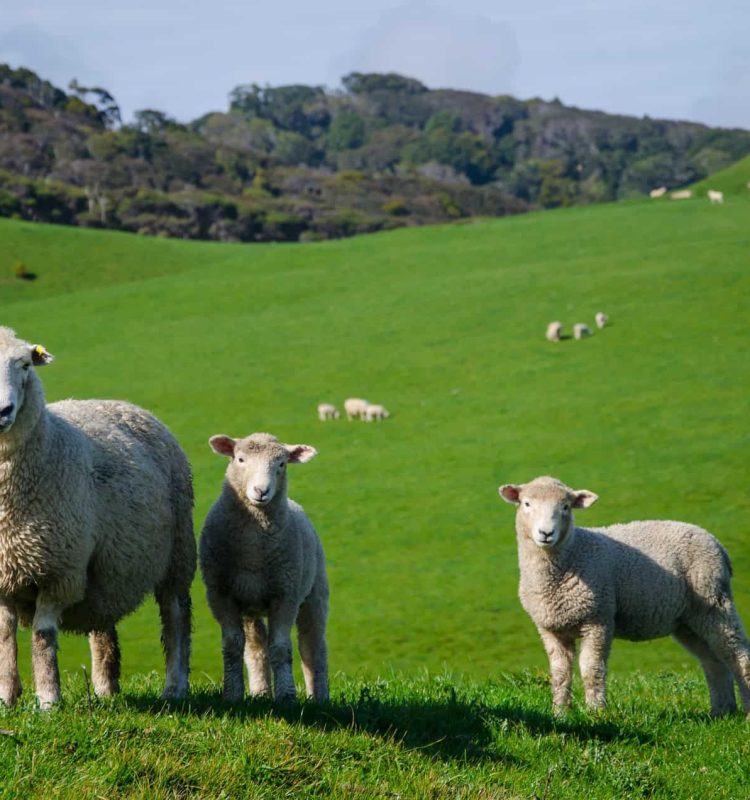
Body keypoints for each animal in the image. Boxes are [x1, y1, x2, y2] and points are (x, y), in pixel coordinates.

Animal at [0, 326, 195, 708]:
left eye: (25, 365)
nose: (3, 410)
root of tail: (122, 403)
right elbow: (3, 637)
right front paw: (6, 698)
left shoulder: (59, 571)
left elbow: (43, 637)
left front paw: (49, 701)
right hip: (109, 566)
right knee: (104, 626)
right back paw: (106, 689)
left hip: (177, 554)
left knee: (176, 618)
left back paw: (174, 688)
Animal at [200, 432, 329, 703]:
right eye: (240, 459)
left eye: (282, 464)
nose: (261, 491)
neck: (254, 552)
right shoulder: (220, 594)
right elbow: (233, 645)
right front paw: (232, 694)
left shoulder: (286, 594)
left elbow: (280, 648)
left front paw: (287, 696)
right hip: (251, 605)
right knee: (256, 647)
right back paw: (260, 691)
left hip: (314, 592)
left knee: (312, 646)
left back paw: (319, 696)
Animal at [498, 476, 750, 717]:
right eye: (526, 504)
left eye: (566, 507)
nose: (546, 533)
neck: (572, 553)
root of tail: (716, 543)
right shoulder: (551, 628)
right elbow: (560, 673)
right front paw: (560, 713)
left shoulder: (598, 619)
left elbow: (591, 669)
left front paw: (596, 712)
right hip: (688, 620)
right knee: (714, 661)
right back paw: (721, 711)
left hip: (713, 601)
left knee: (737, 654)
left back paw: (744, 711)